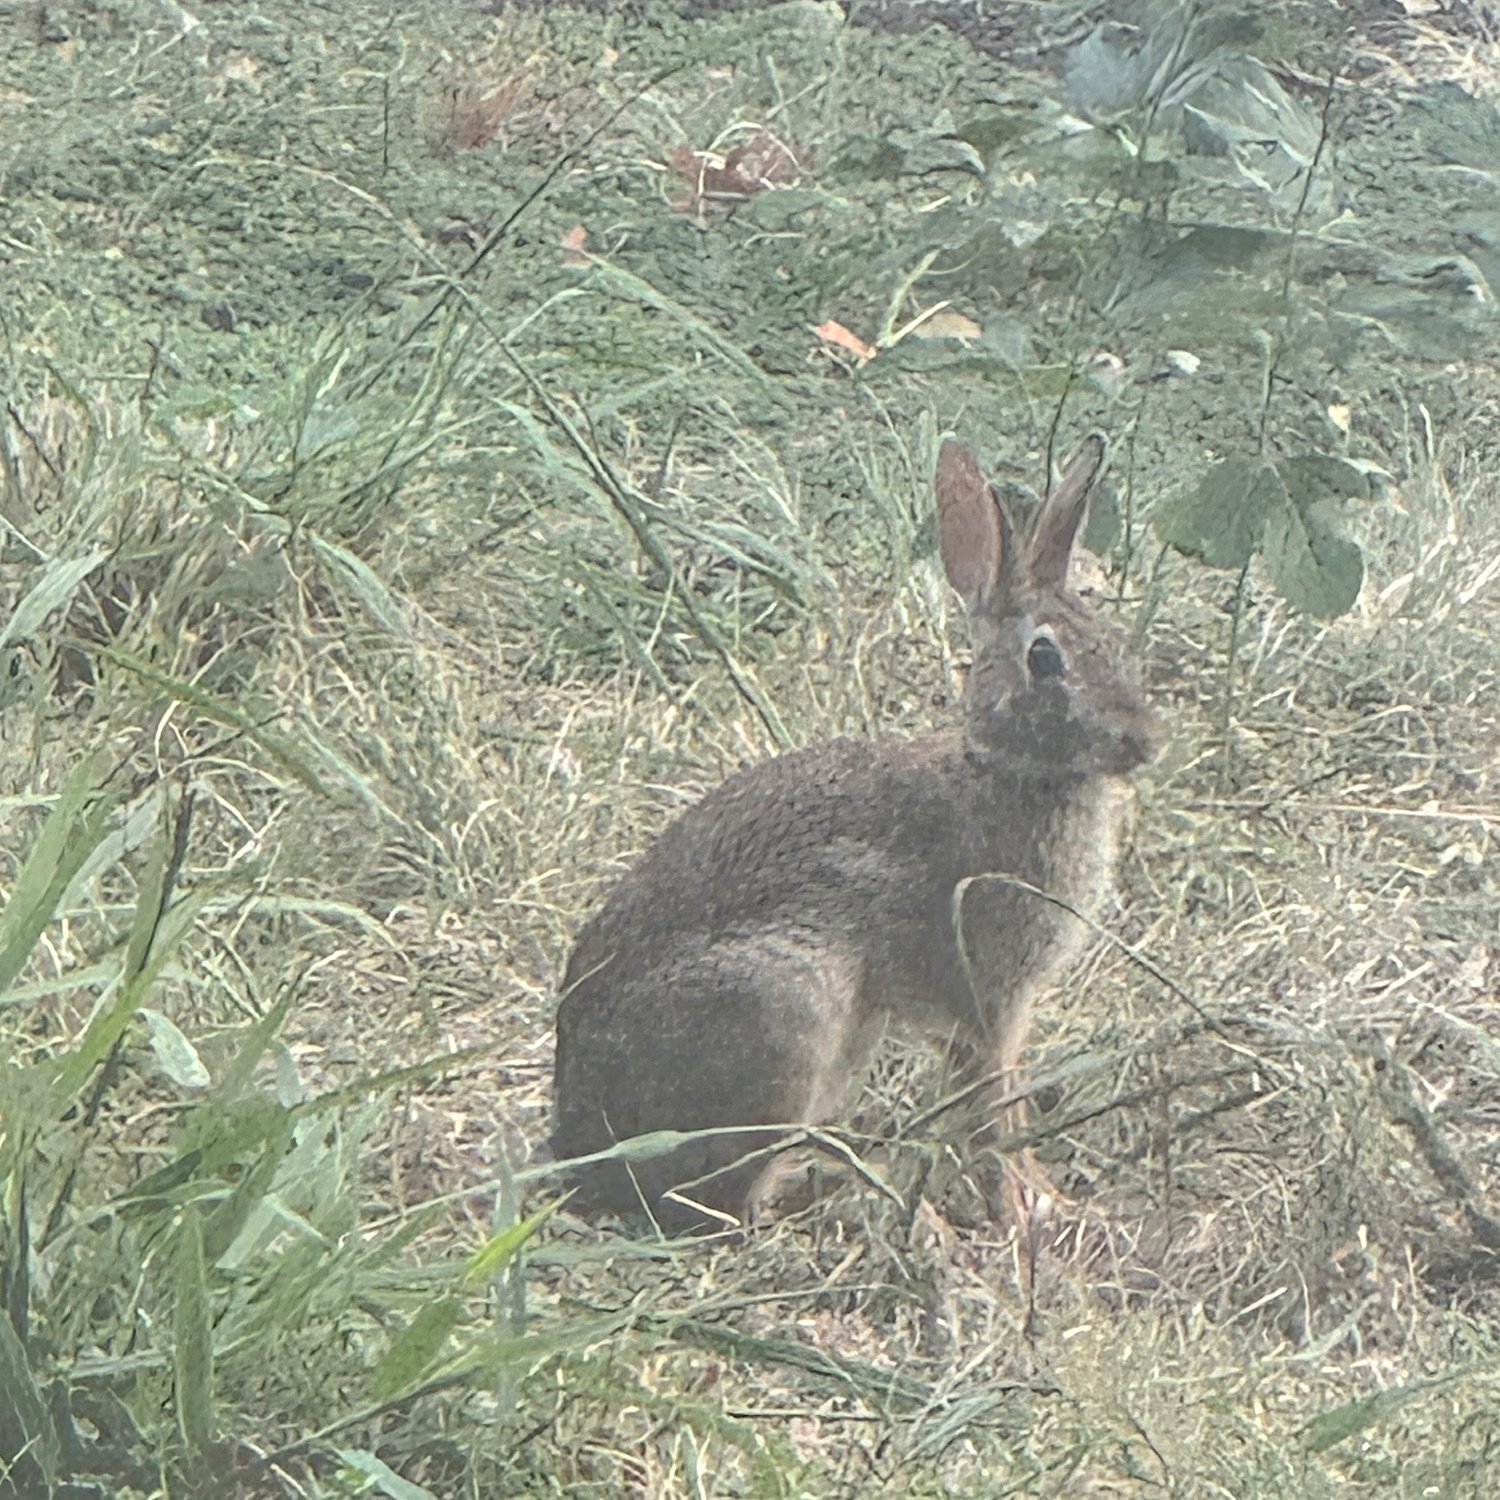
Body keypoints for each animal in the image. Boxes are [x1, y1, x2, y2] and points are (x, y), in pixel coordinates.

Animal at [552, 432, 1158, 1230]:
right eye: (1046, 658)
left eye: (1114, 642)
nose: (1145, 741)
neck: (1006, 771)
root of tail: (576, 1138)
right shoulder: (987, 1000)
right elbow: (995, 1111)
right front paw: (1024, 1209)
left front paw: (1042, 1197)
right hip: (785, 1013)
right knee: (723, 1208)